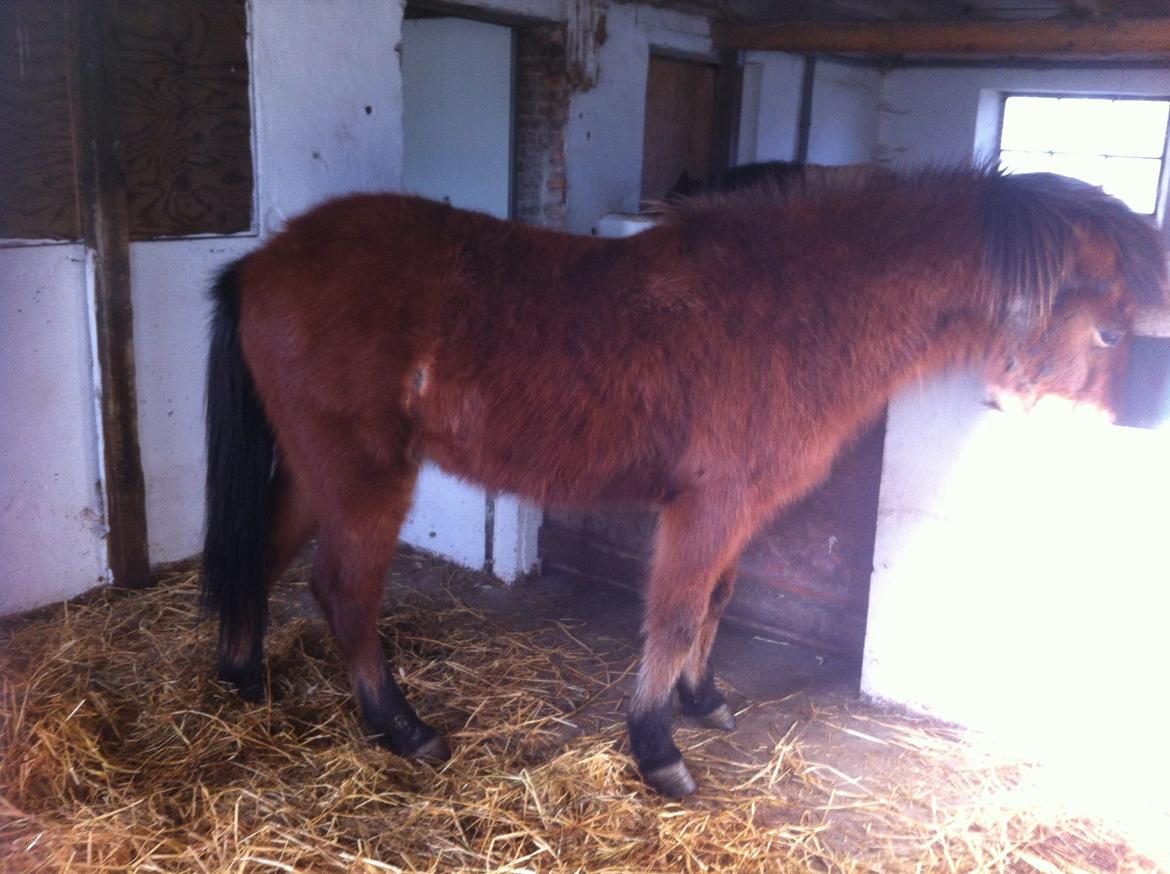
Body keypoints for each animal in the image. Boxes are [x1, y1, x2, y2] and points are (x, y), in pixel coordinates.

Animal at [205, 166, 1165, 800]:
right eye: (1113, 333)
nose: (1130, 431)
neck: (802, 306)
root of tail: (266, 261)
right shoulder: (708, 506)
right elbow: (672, 616)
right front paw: (657, 747)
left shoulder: (740, 510)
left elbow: (716, 603)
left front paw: (703, 701)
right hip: (365, 477)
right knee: (344, 592)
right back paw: (401, 728)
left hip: (315, 473)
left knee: (261, 557)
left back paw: (244, 677)